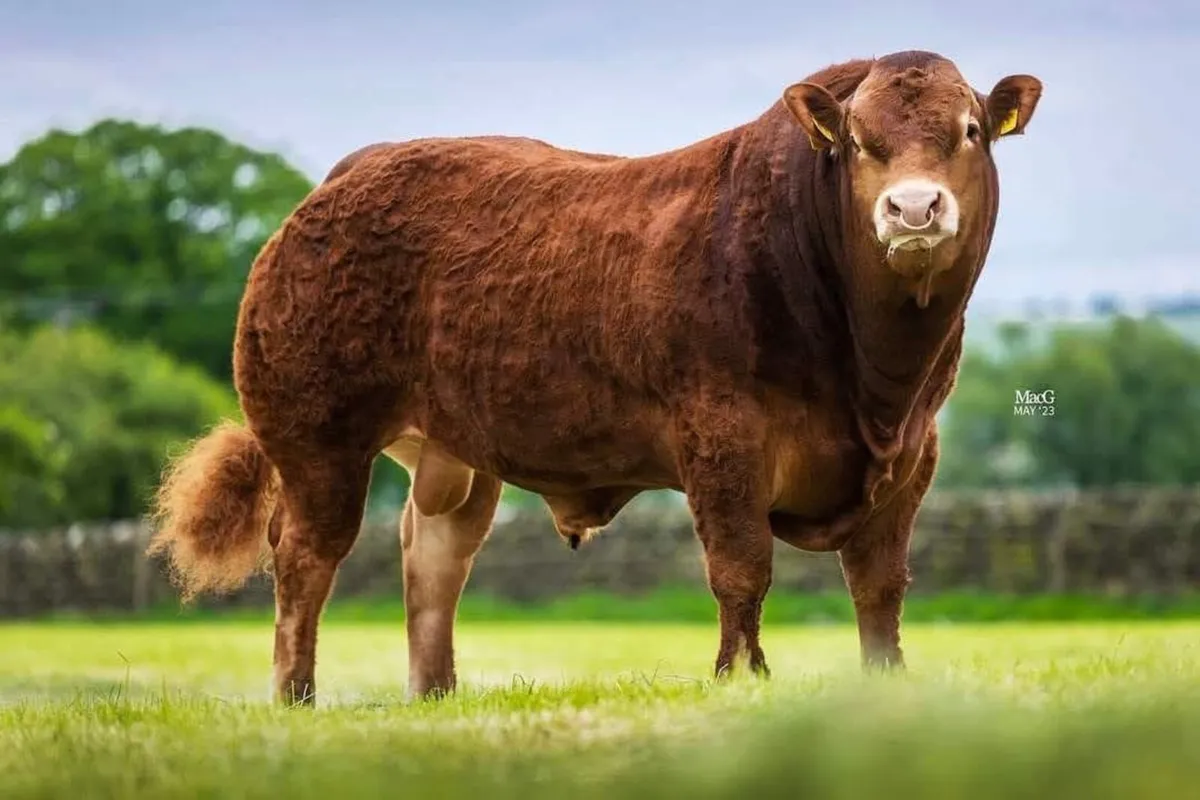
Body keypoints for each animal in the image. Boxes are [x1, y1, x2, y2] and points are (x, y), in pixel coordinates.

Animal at [148, 50, 1042, 706]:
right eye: (856, 140)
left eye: (970, 129)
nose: (914, 209)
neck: (874, 384)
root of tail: (350, 172)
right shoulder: (722, 435)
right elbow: (741, 566)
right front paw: (739, 676)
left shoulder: (915, 453)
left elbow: (880, 583)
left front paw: (884, 681)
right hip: (317, 436)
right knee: (307, 555)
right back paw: (295, 693)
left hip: (452, 452)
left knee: (432, 555)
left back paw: (436, 693)